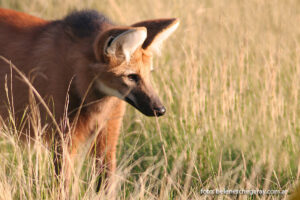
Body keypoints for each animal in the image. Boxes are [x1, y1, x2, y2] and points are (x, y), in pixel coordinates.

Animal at [0, 7, 178, 191]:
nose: (160, 109)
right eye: (132, 77)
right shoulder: (63, 138)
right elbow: (62, 186)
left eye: (148, 74)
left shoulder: (106, 135)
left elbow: (106, 179)